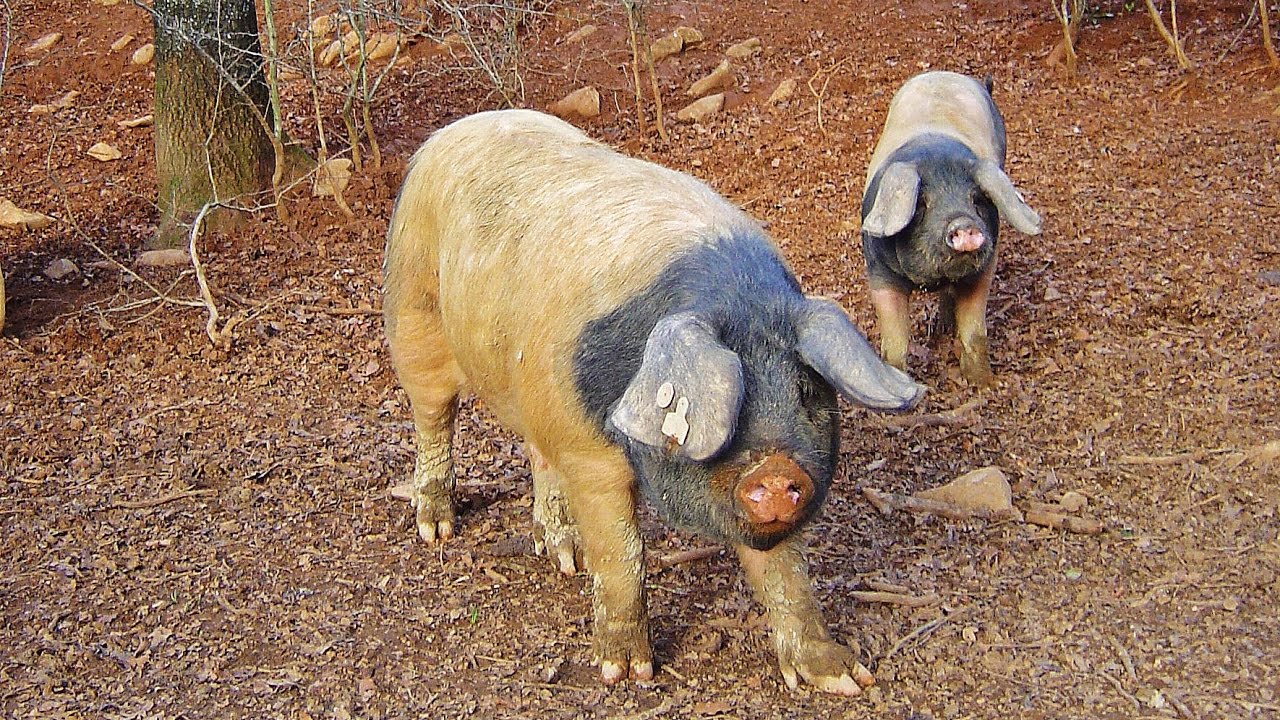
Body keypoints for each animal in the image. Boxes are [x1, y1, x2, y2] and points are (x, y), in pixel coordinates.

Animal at [383, 109, 925, 695]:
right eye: (731, 403)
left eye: (806, 394)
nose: (776, 473)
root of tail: (448, 134)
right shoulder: (588, 450)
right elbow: (623, 556)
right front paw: (626, 673)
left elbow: (787, 572)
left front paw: (846, 678)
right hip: (413, 308)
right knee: (433, 417)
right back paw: (437, 527)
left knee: (537, 453)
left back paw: (565, 558)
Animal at [860, 71, 1043, 387]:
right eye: (921, 204)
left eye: (977, 200)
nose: (964, 224)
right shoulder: (879, 273)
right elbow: (895, 343)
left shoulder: (984, 266)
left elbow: (974, 331)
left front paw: (983, 384)